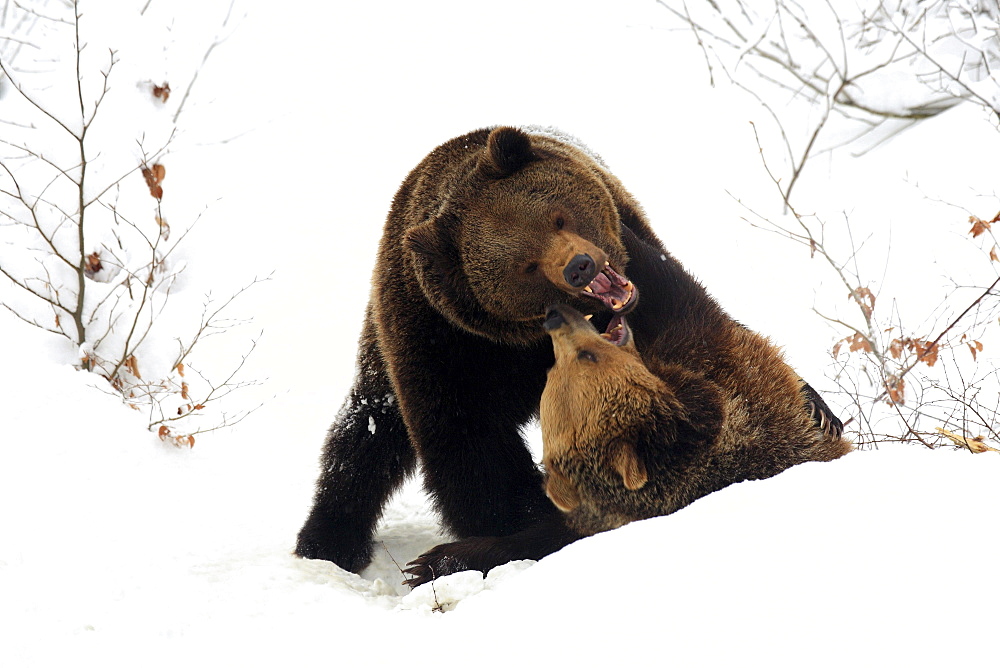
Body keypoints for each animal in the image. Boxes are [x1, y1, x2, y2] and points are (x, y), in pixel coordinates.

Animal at [292, 125, 660, 584]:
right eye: (526, 266)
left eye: (558, 217)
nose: (579, 266)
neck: (525, 339)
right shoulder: (446, 342)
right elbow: (472, 446)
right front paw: (518, 524)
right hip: (383, 350)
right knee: (366, 432)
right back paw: (328, 541)